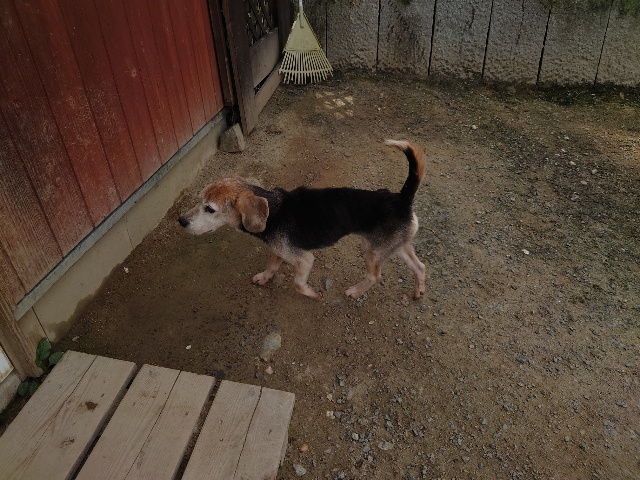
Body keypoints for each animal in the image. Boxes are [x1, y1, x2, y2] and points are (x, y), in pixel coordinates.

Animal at [178, 140, 426, 300]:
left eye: (209, 209)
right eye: (199, 200)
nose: (181, 221)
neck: (273, 211)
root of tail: (402, 199)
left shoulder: (304, 259)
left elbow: (298, 284)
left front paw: (313, 293)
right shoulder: (278, 250)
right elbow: (271, 266)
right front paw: (264, 278)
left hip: (371, 250)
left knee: (375, 276)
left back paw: (355, 291)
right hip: (397, 245)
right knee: (420, 266)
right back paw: (418, 291)